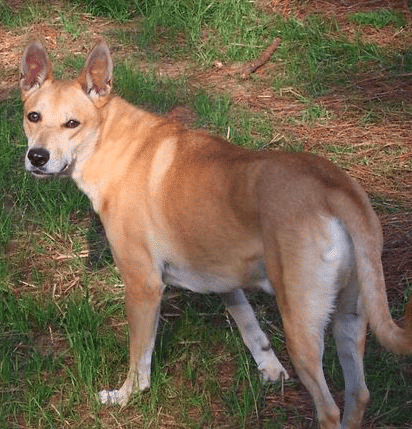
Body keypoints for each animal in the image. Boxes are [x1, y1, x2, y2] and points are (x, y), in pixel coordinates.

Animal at [20, 38, 410, 426]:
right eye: (33, 116)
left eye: (72, 123)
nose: (37, 157)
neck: (111, 142)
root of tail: (335, 187)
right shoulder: (222, 275)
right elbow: (248, 323)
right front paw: (269, 369)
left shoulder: (143, 285)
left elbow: (140, 359)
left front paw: (124, 396)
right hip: (350, 319)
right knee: (359, 394)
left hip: (302, 326)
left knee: (329, 409)